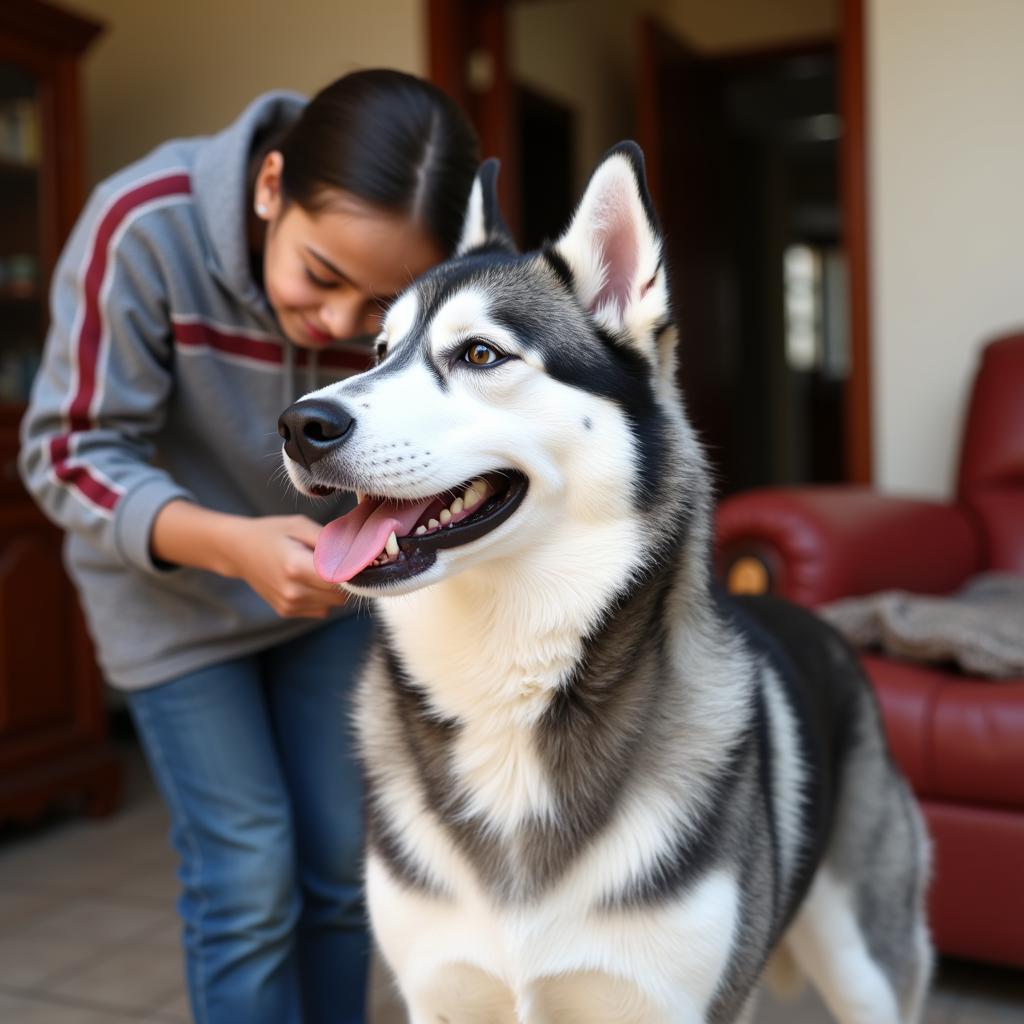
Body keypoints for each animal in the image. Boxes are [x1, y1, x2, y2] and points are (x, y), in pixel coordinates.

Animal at [276, 146, 933, 1024]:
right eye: (378, 350)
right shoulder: (439, 994)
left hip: (864, 967)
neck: (507, 692)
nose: (300, 425)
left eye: (480, 354)